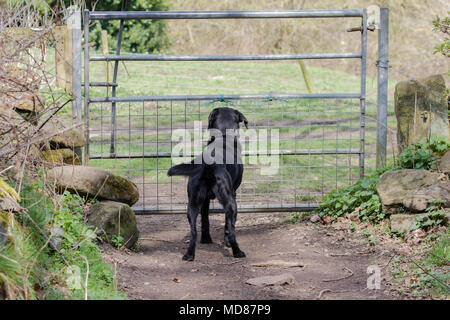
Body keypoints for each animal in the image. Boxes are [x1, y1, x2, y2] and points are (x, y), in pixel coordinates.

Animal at [167, 106, 248, 262]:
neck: (223, 135)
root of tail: (208, 164)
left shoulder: (204, 200)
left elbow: (205, 219)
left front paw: (206, 239)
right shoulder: (233, 194)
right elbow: (227, 225)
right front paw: (226, 242)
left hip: (192, 203)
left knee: (193, 231)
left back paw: (189, 255)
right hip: (231, 202)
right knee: (232, 229)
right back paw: (237, 251)